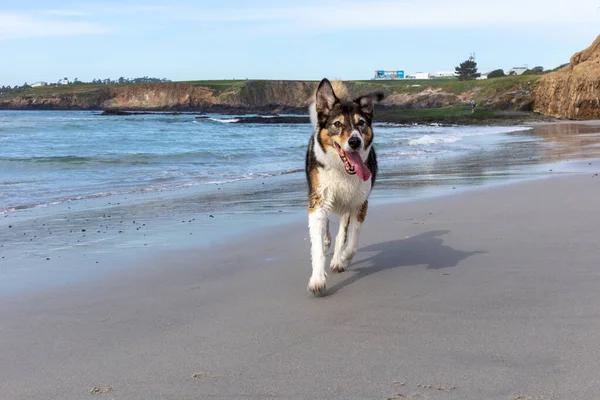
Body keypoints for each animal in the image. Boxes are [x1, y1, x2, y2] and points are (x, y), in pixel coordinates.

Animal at [304, 78, 384, 296]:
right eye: (337, 124)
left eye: (361, 123)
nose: (355, 141)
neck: (342, 170)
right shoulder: (318, 201)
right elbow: (316, 244)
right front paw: (317, 279)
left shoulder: (359, 204)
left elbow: (351, 243)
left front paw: (341, 260)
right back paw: (326, 242)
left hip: (346, 207)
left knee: (342, 231)